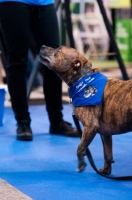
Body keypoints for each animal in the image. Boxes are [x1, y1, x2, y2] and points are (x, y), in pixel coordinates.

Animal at [38, 45, 131, 175]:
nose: (42, 46)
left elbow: (80, 148)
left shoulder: (90, 126)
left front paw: (81, 164)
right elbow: (107, 154)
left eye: (59, 50)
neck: (81, 78)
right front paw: (105, 172)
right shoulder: (106, 133)